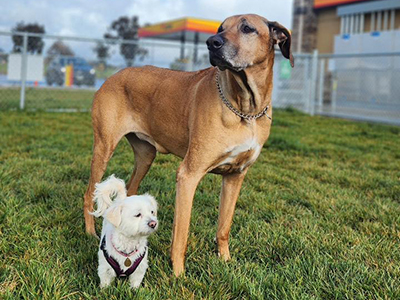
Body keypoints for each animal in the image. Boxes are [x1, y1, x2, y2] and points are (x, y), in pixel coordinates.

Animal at [83, 14, 294, 276]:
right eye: (220, 28)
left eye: (247, 28)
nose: (212, 42)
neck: (245, 108)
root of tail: (112, 76)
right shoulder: (188, 175)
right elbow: (181, 235)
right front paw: (178, 274)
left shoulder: (235, 176)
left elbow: (224, 226)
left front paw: (225, 261)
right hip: (104, 148)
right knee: (88, 193)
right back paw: (90, 232)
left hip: (145, 156)